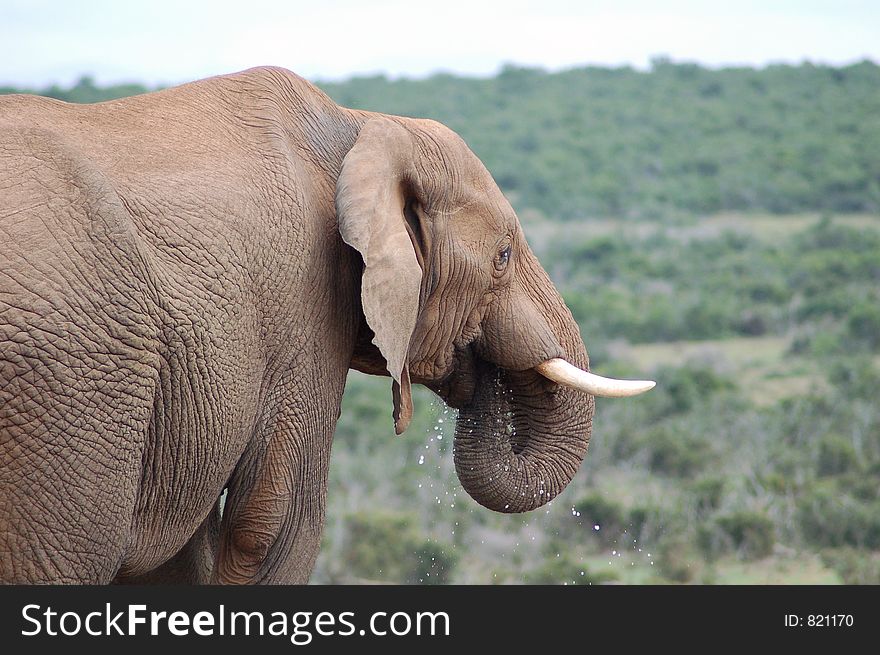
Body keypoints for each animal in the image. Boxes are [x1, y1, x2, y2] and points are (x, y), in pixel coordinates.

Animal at [1, 68, 652, 584]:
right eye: (503, 257)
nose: (482, 366)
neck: (361, 127)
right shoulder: (303, 305)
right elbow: (275, 527)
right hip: (69, 377)